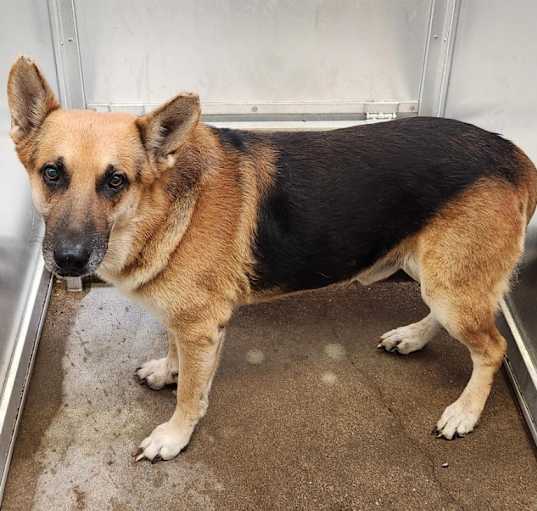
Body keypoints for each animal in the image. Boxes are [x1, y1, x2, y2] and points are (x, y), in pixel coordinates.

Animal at [8, 57, 536, 464]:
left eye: (115, 180)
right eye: (52, 173)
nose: (69, 261)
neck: (163, 207)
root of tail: (514, 153)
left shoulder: (200, 326)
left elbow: (191, 395)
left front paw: (174, 436)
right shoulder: (187, 322)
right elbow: (177, 356)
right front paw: (168, 369)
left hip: (451, 286)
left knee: (493, 348)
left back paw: (464, 411)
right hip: (441, 279)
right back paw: (413, 337)